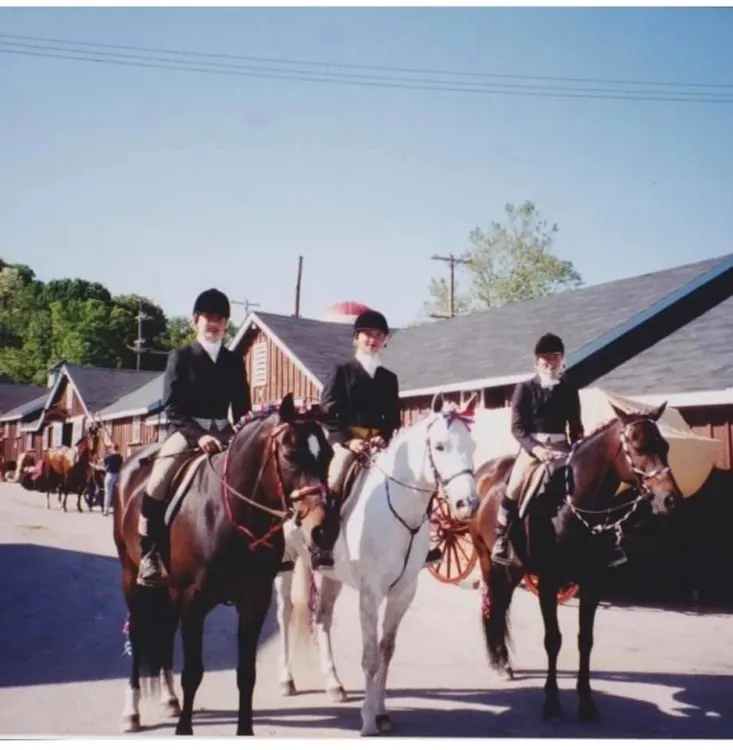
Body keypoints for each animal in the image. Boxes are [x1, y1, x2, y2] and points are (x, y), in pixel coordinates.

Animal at [274, 396, 480, 736]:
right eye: (439, 446)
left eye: (472, 446)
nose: (468, 504)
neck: (397, 508)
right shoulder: (370, 595)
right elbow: (370, 657)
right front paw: (368, 720)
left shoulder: (403, 593)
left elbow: (386, 651)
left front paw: (382, 713)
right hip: (285, 563)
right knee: (285, 614)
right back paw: (286, 680)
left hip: (331, 575)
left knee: (322, 618)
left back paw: (334, 683)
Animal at [468, 402, 680, 724]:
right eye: (637, 445)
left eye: (665, 445)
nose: (669, 499)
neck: (572, 505)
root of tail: (485, 472)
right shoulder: (548, 584)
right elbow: (553, 640)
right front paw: (553, 703)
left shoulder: (592, 585)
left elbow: (585, 640)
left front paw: (587, 702)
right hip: (489, 560)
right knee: (494, 605)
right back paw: (501, 663)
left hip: (513, 569)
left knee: (500, 605)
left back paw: (503, 662)